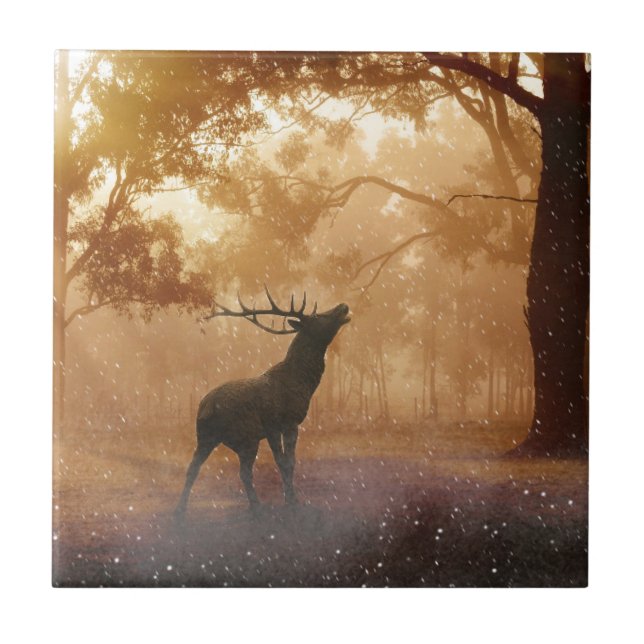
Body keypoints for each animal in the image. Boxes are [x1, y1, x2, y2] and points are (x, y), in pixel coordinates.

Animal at [175, 286, 351, 518]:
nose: (343, 305)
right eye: (316, 316)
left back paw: (181, 509)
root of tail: (207, 407)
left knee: (194, 468)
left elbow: (289, 462)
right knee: (243, 472)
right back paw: (257, 506)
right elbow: (286, 462)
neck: (302, 383)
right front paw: (292, 502)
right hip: (245, 437)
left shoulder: (278, 427)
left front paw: (290, 499)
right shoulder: (281, 422)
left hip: (206, 436)